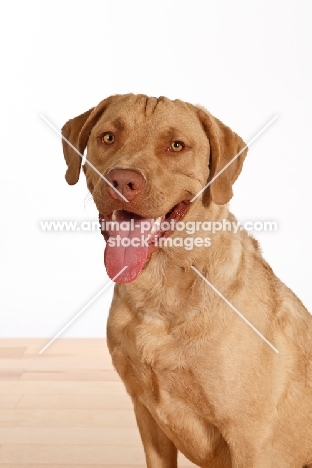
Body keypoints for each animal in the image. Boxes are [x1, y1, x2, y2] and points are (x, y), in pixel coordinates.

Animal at [61, 95, 312, 468]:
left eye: (176, 146)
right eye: (108, 137)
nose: (122, 181)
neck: (161, 288)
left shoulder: (249, 439)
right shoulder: (147, 417)